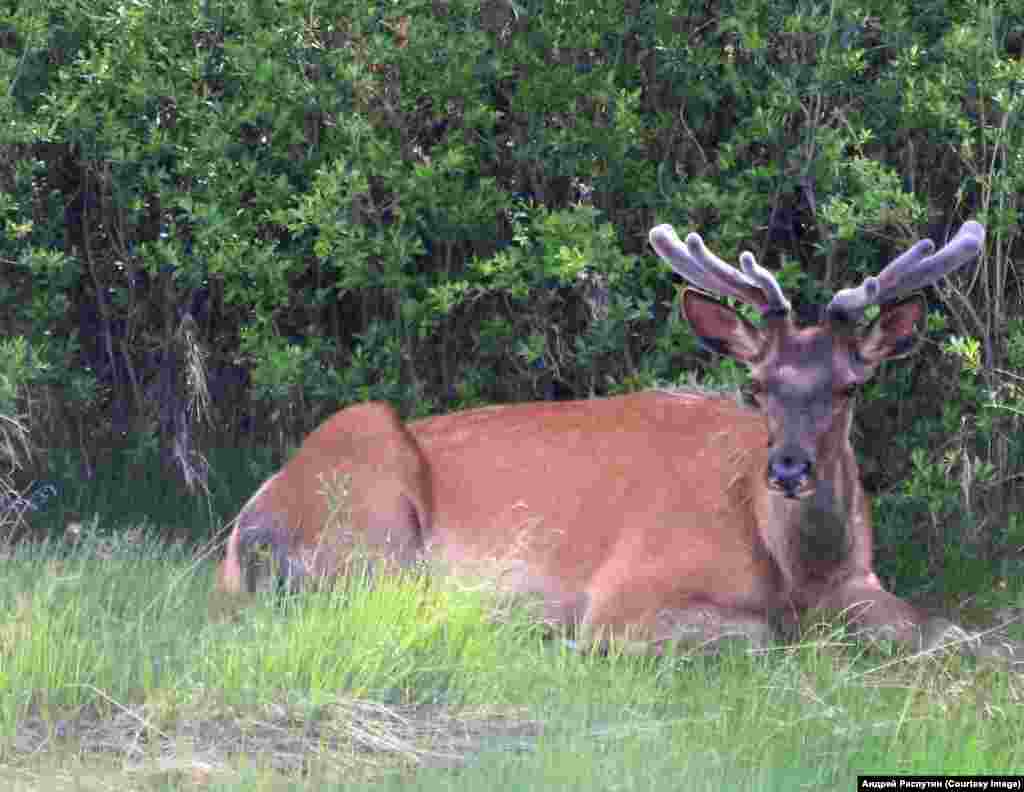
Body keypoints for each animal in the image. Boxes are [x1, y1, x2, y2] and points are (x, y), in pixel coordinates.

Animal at [216, 218, 1015, 659]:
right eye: (758, 387)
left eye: (849, 387)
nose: (789, 470)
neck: (797, 567)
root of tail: (243, 534)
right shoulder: (631, 585)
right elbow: (763, 634)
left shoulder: (863, 579)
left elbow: (939, 629)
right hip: (368, 495)